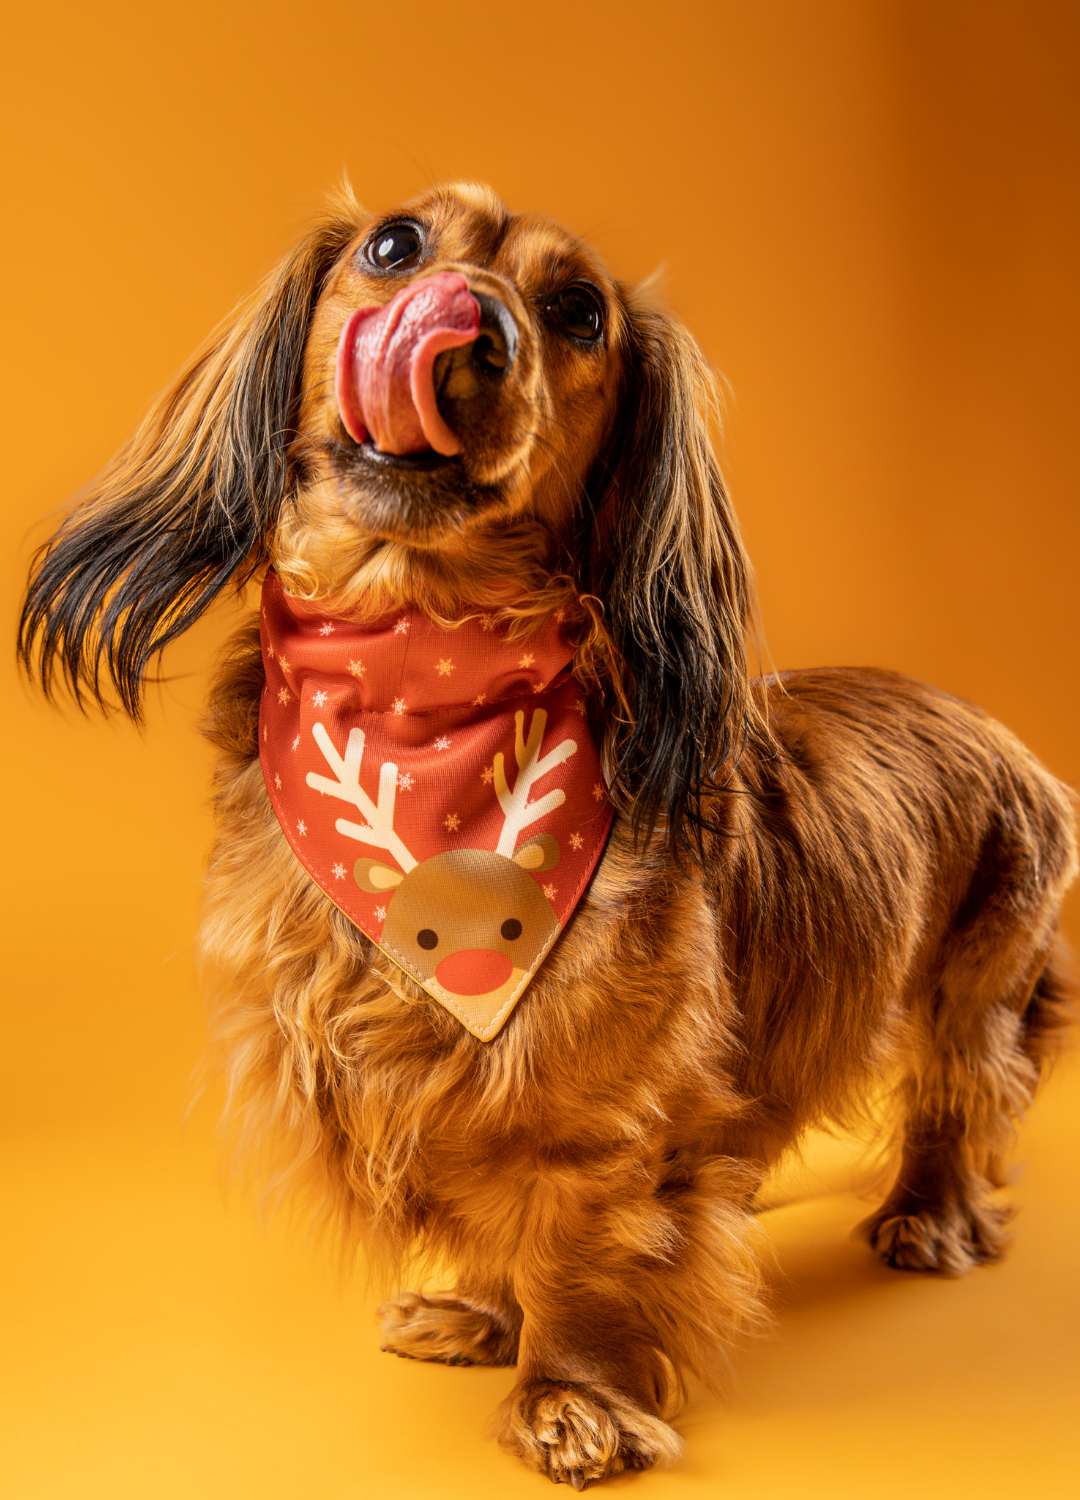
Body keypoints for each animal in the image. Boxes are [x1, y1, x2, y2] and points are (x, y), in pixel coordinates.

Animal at [21, 181, 1074, 1482]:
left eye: (579, 312)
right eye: (394, 245)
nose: (466, 323)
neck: (418, 693)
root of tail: (999, 730)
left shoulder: (598, 1107)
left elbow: (577, 1242)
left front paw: (570, 1398)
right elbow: (492, 1208)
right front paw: (479, 1312)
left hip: (971, 992)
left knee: (956, 1098)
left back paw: (929, 1216)